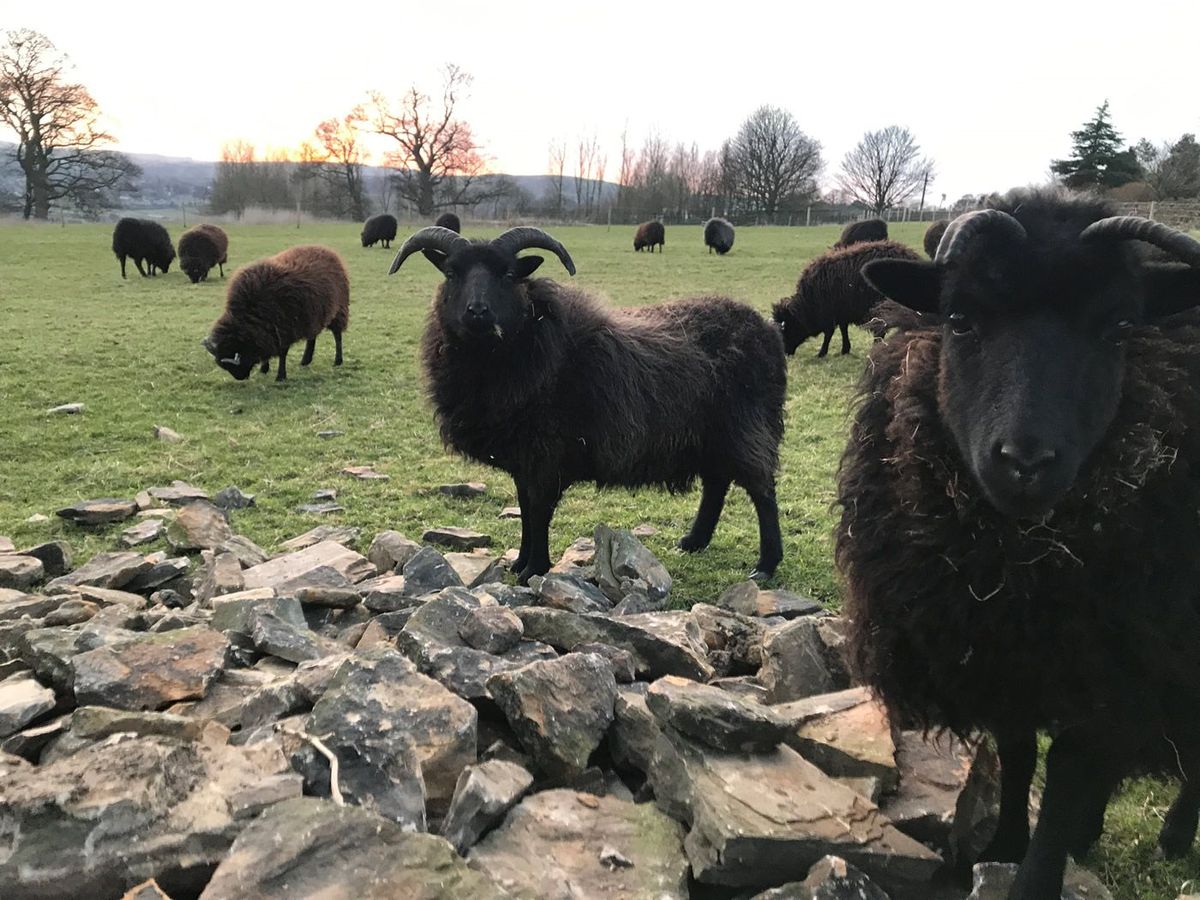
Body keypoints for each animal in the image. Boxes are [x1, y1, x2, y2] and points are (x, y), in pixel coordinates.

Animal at [202, 244, 350, 381]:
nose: (241, 378)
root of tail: (327, 250)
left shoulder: (284, 329)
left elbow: (282, 353)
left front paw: (280, 376)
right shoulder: (267, 331)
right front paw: (264, 369)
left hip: (339, 311)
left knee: (337, 336)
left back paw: (338, 361)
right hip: (313, 316)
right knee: (312, 337)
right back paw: (305, 361)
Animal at [772, 241, 921, 357]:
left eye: (786, 329)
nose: (786, 353)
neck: (808, 302)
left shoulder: (829, 313)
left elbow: (829, 333)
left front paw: (822, 353)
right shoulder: (842, 311)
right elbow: (843, 329)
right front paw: (845, 349)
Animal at [840, 187, 1200, 897]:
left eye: (1120, 328)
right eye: (959, 319)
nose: (1025, 462)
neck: (1018, 570)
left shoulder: (1122, 659)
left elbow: (1066, 774)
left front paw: (1035, 875)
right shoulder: (1001, 654)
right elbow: (1017, 750)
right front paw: (1003, 843)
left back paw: (1173, 835)